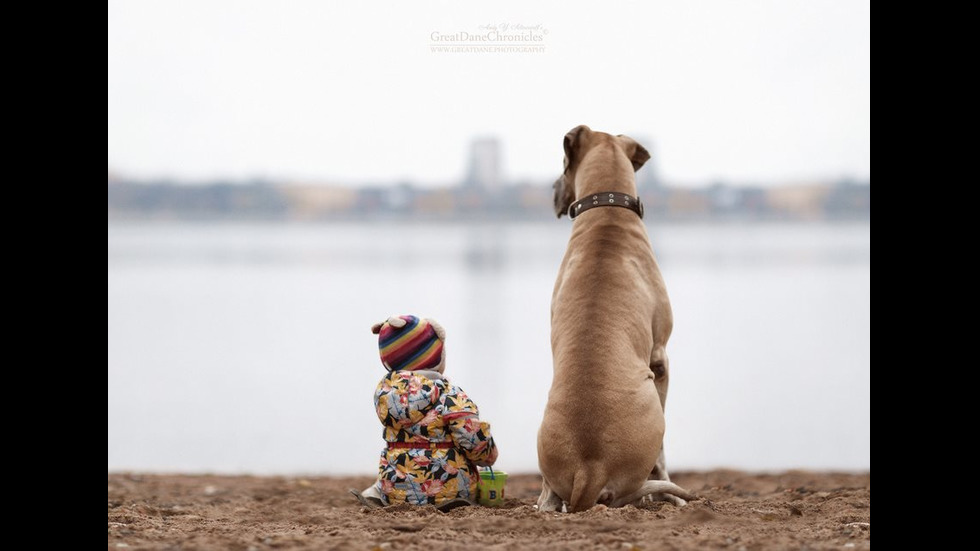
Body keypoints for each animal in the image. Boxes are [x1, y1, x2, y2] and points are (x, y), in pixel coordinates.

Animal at [540, 125, 692, 512]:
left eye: (561, 166)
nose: (552, 190)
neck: (607, 210)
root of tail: (588, 471)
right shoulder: (660, 357)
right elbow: (663, 456)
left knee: (547, 497)